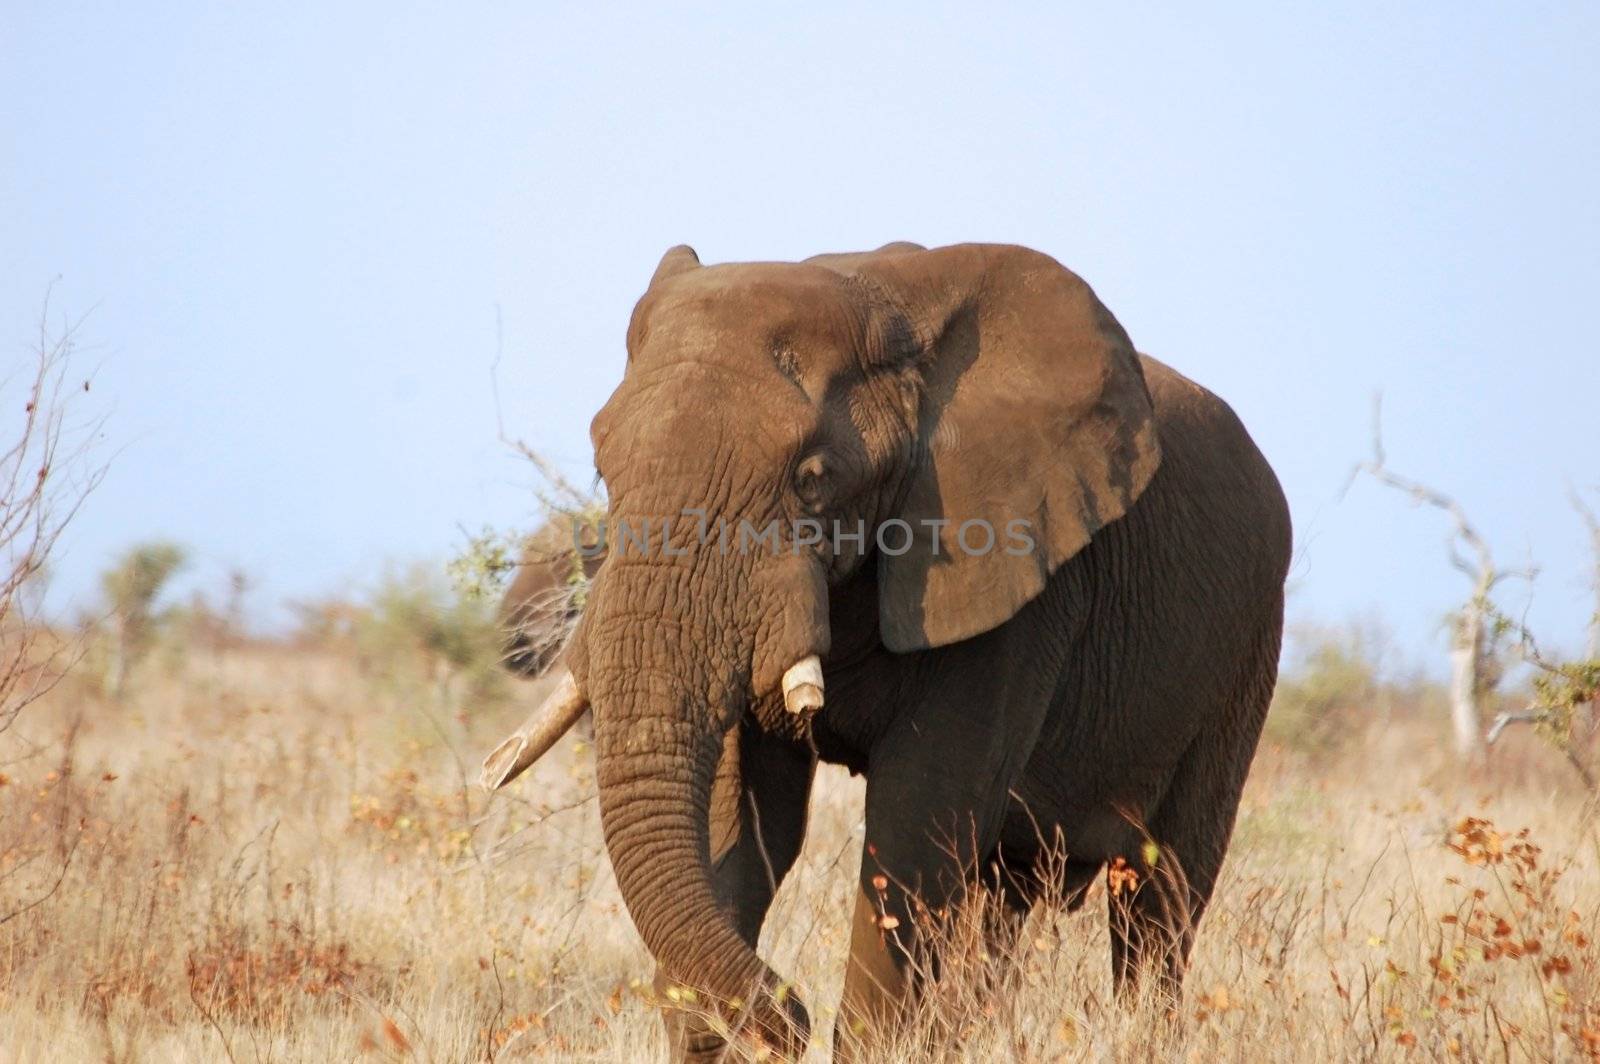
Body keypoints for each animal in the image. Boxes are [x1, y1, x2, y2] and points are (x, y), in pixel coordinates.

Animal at [476, 243, 1286, 1062]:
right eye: (603, 471)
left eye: (812, 478)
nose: (786, 1013)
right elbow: (745, 819)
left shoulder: (1015, 584)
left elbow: (915, 825)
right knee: (1007, 894)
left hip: (1247, 649)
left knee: (1161, 896)